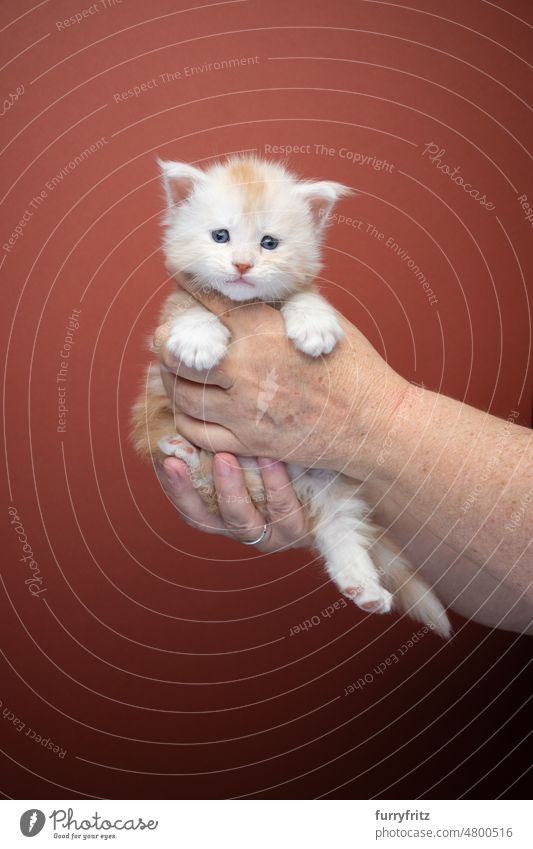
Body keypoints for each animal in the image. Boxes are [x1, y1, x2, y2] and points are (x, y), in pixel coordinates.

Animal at [131, 157, 450, 636]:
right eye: (220, 236)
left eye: (269, 243)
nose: (243, 265)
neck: (244, 305)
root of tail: (257, 484)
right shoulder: (173, 312)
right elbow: (190, 310)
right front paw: (199, 339)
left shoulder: (295, 290)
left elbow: (306, 295)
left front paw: (314, 325)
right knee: (183, 458)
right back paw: (181, 450)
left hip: (329, 479)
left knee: (340, 526)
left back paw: (364, 587)